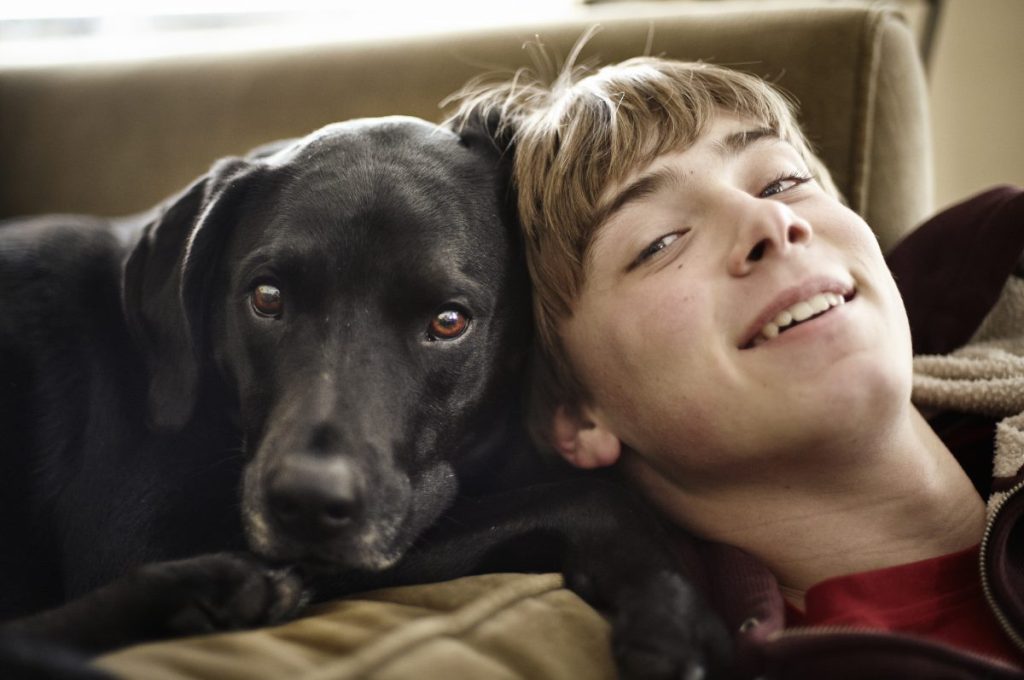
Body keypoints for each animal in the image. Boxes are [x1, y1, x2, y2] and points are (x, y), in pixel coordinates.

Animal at [0, 118, 729, 680]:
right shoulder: (145, 536)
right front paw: (672, 611)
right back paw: (203, 594)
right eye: (267, 297)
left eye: (448, 320)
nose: (308, 503)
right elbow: (590, 494)